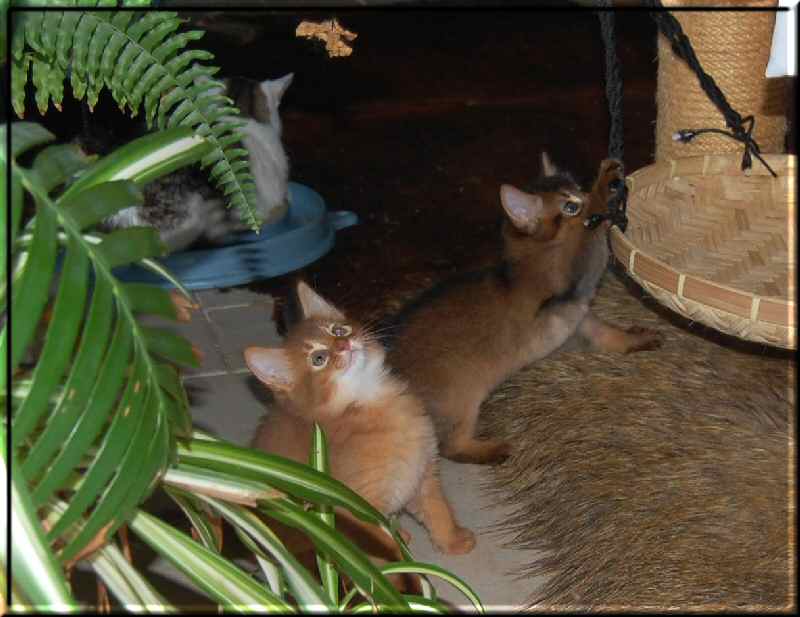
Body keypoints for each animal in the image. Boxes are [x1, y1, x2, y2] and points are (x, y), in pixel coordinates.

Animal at [244, 281, 476, 556]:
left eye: (339, 330)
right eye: (318, 359)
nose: (345, 344)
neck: (370, 401)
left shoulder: (422, 472)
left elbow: (437, 510)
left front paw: (453, 541)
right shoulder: (358, 505)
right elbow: (385, 552)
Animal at [386, 153, 663, 465]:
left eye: (577, 189)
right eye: (570, 206)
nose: (582, 194)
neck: (529, 254)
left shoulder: (578, 320)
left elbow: (608, 335)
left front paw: (637, 338)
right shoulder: (574, 274)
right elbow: (589, 234)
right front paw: (605, 181)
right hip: (459, 402)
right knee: (450, 448)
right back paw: (492, 450)